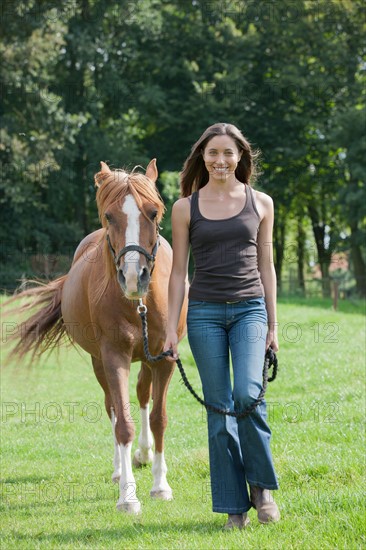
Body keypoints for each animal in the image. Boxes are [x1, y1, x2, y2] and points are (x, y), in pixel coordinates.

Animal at [5, 160, 187, 516]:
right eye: (109, 216)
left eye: (154, 212)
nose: (133, 277)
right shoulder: (114, 357)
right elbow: (123, 424)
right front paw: (128, 496)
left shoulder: (165, 357)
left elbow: (158, 418)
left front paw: (161, 486)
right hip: (99, 362)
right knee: (114, 408)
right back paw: (120, 470)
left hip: (147, 358)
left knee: (142, 395)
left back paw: (144, 454)